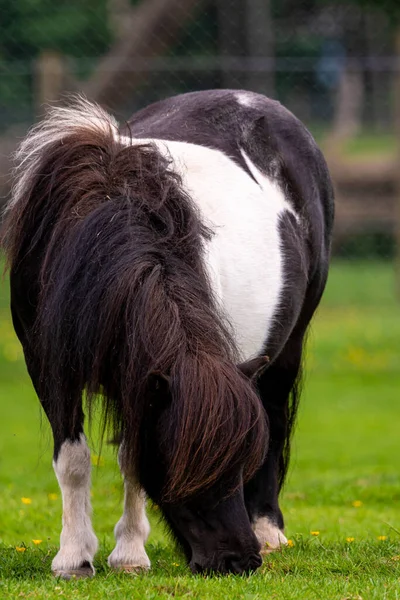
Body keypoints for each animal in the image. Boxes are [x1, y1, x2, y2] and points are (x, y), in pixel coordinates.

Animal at [0, 89, 334, 576]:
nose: (239, 560)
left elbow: (132, 459)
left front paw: (129, 555)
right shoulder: (50, 367)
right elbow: (75, 460)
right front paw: (75, 558)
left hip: (286, 349)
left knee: (274, 413)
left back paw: (269, 530)